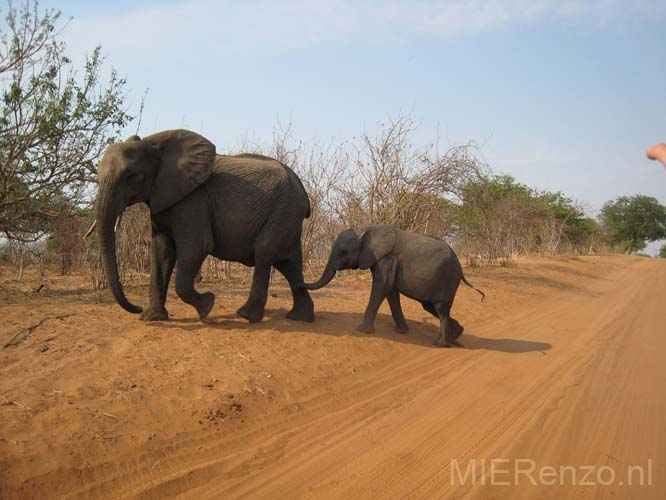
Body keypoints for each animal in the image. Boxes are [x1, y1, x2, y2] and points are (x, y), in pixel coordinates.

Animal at [94, 129, 314, 324]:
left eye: (132, 177)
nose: (137, 308)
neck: (153, 143)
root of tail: (303, 193)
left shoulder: (193, 201)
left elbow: (196, 248)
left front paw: (207, 306)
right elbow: (162, 252)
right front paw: (151, 318)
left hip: (285, 210)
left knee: (265, 251)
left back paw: (246, 316)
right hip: (287, 215)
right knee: (288, 263)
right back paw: (300, 318)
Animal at [300, 225, 482, 346]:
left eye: (344, 252)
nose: (300, 283)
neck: (366, 229)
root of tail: (460, 267)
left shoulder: (387, 259)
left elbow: (382, 287)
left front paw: (361, 331)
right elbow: (391, 292)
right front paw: (402, 332)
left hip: (448, 279)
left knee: (441, 309)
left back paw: (441, 343)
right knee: (431, 307)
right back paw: (456, 335)